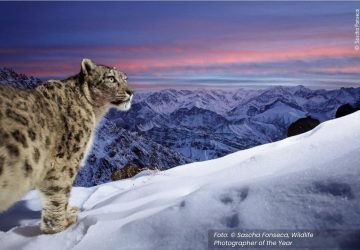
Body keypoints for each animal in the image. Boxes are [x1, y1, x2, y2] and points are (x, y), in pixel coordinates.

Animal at [0, 58, 133, 232]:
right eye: (111, 78)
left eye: (125, 78)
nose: (131, 92)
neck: (95, 113)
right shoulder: (65, 160)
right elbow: (58, 192)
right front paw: (60, 225)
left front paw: (69, 211)